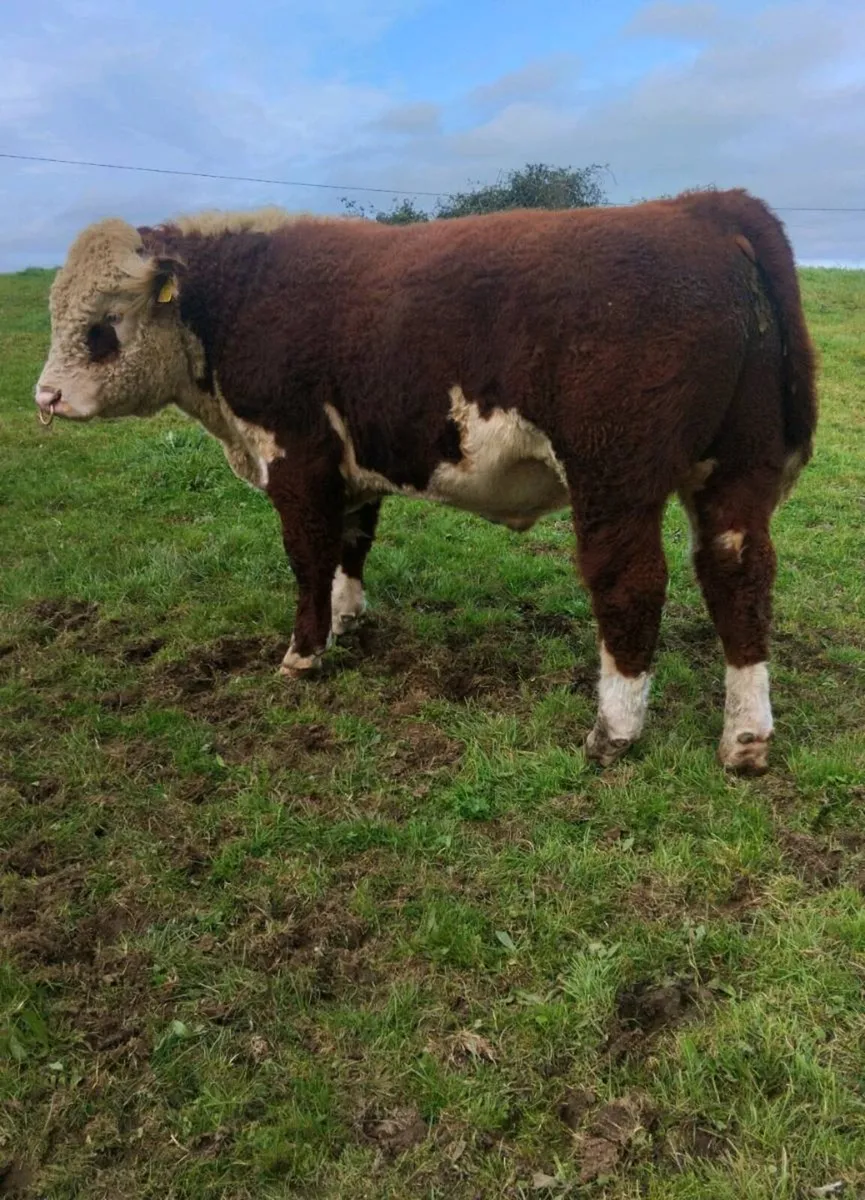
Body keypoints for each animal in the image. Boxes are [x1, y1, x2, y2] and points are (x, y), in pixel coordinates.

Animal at [34, 190, 817, 773]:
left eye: (104, 324)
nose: (45, 397)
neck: (239, 298)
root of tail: (697, 209)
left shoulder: (296, 453)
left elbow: (307, 554)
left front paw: (303, 653)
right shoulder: (353, 462)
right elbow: (351, 543)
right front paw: (347, 616)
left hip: (614, 473)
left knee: (630, 581)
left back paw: (613, 731)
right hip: (737, 464)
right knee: (739, 571)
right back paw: (745, 738)